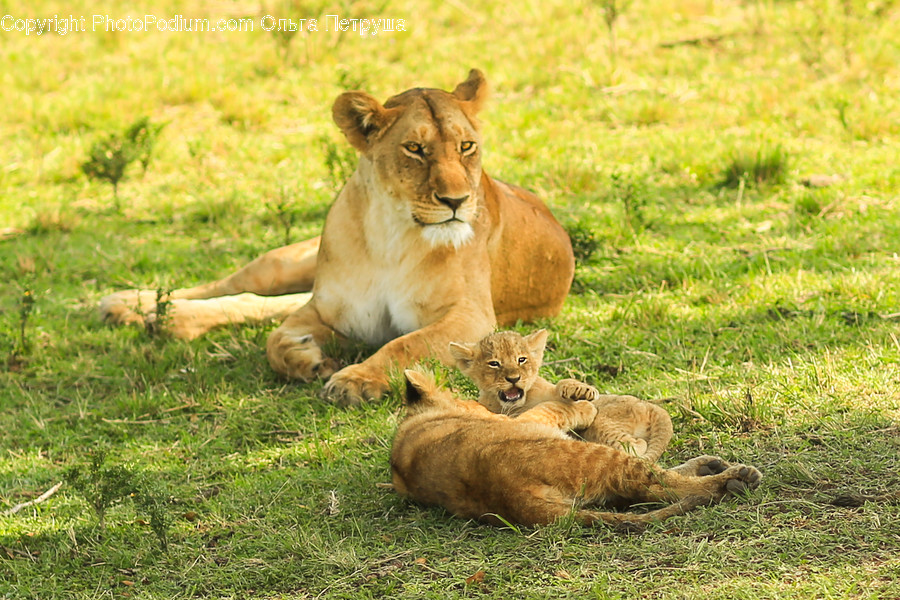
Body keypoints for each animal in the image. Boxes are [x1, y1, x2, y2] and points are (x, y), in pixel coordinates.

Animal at [99, 69, 575, 406]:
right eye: (415, 149)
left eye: (466, 147)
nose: (456, 200)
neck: (393, 235)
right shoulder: (334, 308)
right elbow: (274, 340)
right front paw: (306, 358)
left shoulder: (472, 318)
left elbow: (405, 344)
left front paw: (352, 379)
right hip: (289, 262)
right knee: (244, 287)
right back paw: (131, 306)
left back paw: (158, 317)